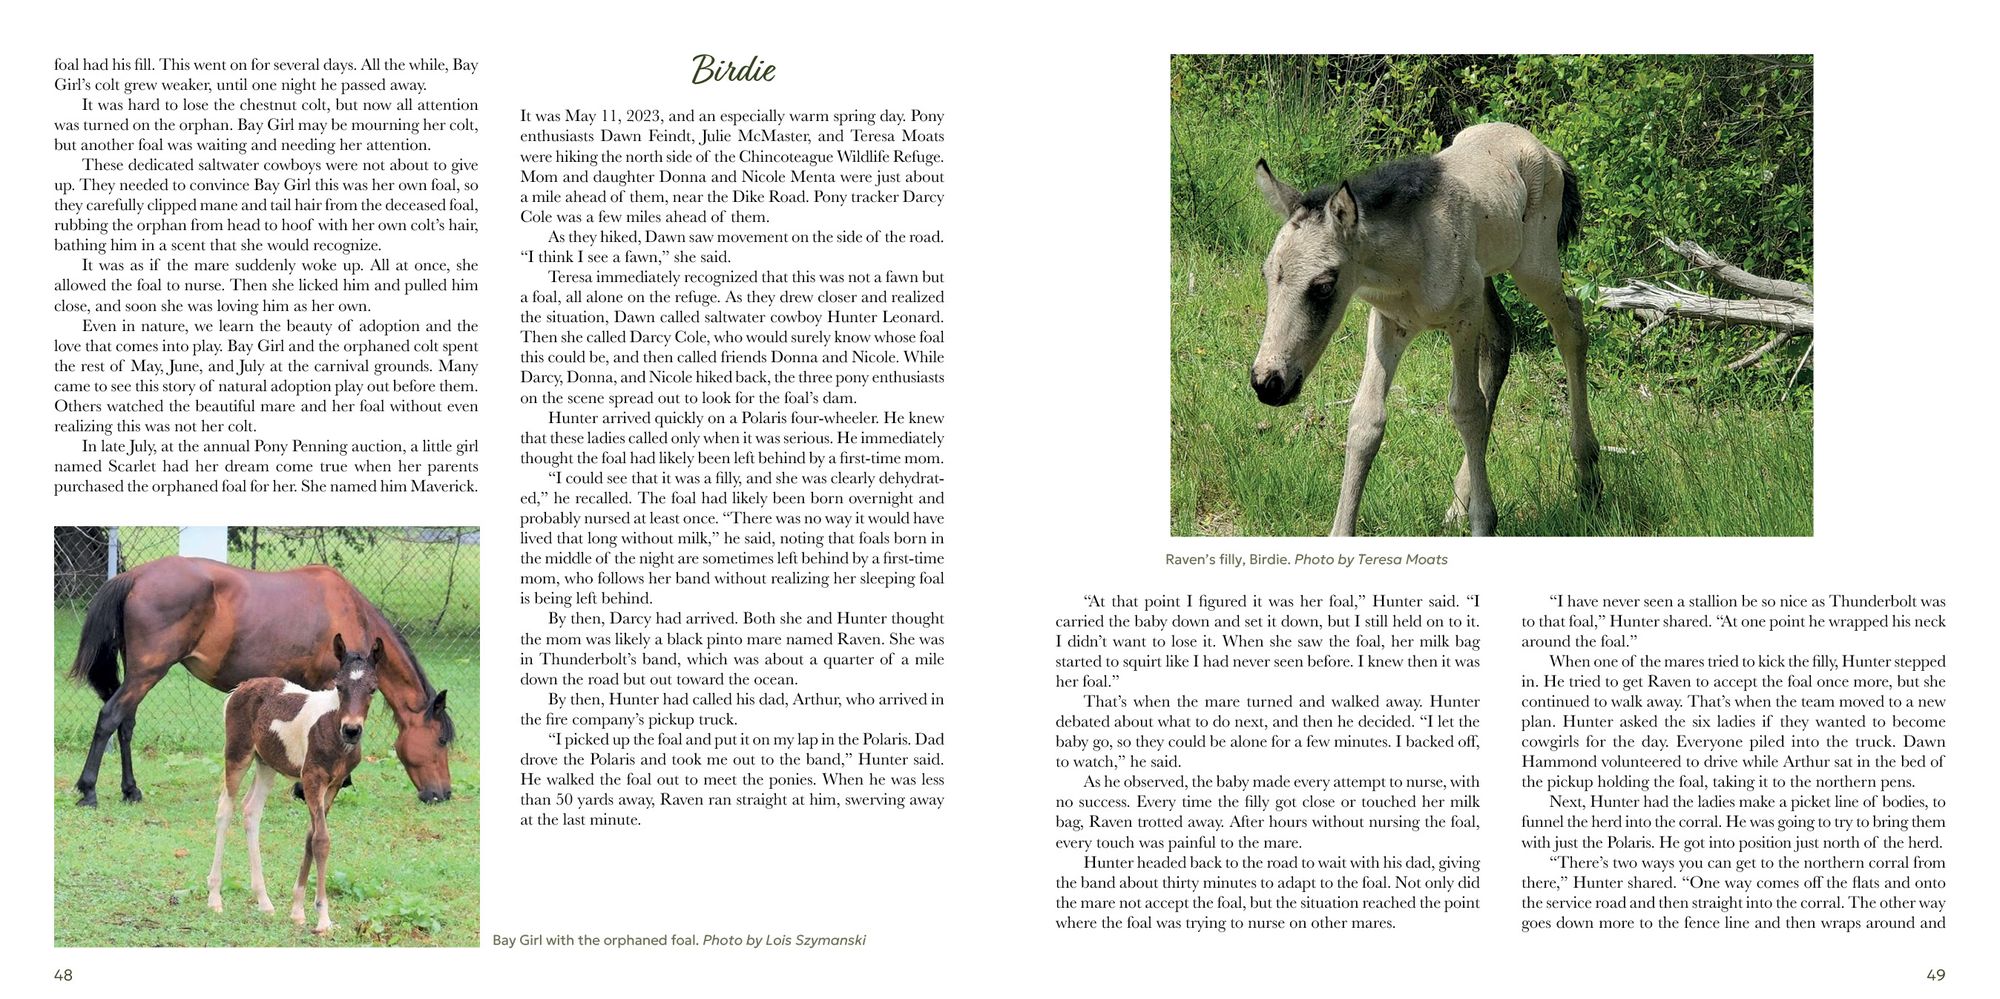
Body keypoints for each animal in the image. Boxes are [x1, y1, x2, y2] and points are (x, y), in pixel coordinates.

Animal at [67, 555, 455, 806]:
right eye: (440, 740)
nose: (443, 794)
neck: (349, 612)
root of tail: (135, 576)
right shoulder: (328, 684)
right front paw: (314, 786)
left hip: (138, 675)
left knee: (126, 724)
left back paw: (130, 790)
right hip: (147, 673)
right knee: (110, 717)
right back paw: (88, 790)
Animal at [207, 633, 379, 934]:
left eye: (372, 689)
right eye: (340, 686)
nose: (352, 730)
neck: (332, 728)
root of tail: (239, 688)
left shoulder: (333, 786)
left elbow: (311, 836)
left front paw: (297, 911)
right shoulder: (312, 779)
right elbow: (321, 840)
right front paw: (322, 918)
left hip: (266, 765)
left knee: (251, 811)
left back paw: (264, 902)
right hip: (238, 754)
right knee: (225, 809)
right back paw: (215, 897)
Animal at [1250, 122, 1601, 536]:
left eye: (1323, 286)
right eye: (1267, 275)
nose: (1268, 383)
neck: (1410, 258)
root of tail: (1548, 153)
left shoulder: (1462, 318)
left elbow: (1466, 408)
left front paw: (1484, 522)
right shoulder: (1387, 324)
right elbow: (1366, 420)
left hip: (1534, 267)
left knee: (1571, 326)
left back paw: (1588, 475)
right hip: (1485, 281)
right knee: (1502, 339)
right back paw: (1458, 504)